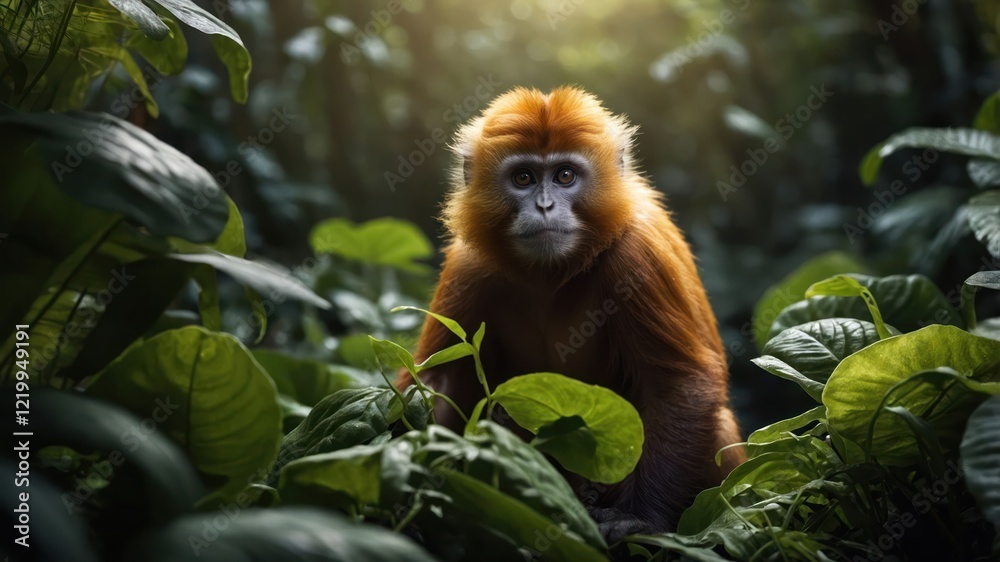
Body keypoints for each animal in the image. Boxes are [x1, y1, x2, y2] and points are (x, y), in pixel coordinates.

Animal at [396, 86, 745, 541]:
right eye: (523, 178)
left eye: (565, 176)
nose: (544, 206)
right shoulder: (468, 265)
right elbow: (438, 378)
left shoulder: (637, 255)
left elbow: (680, 383)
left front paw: (641, 517)